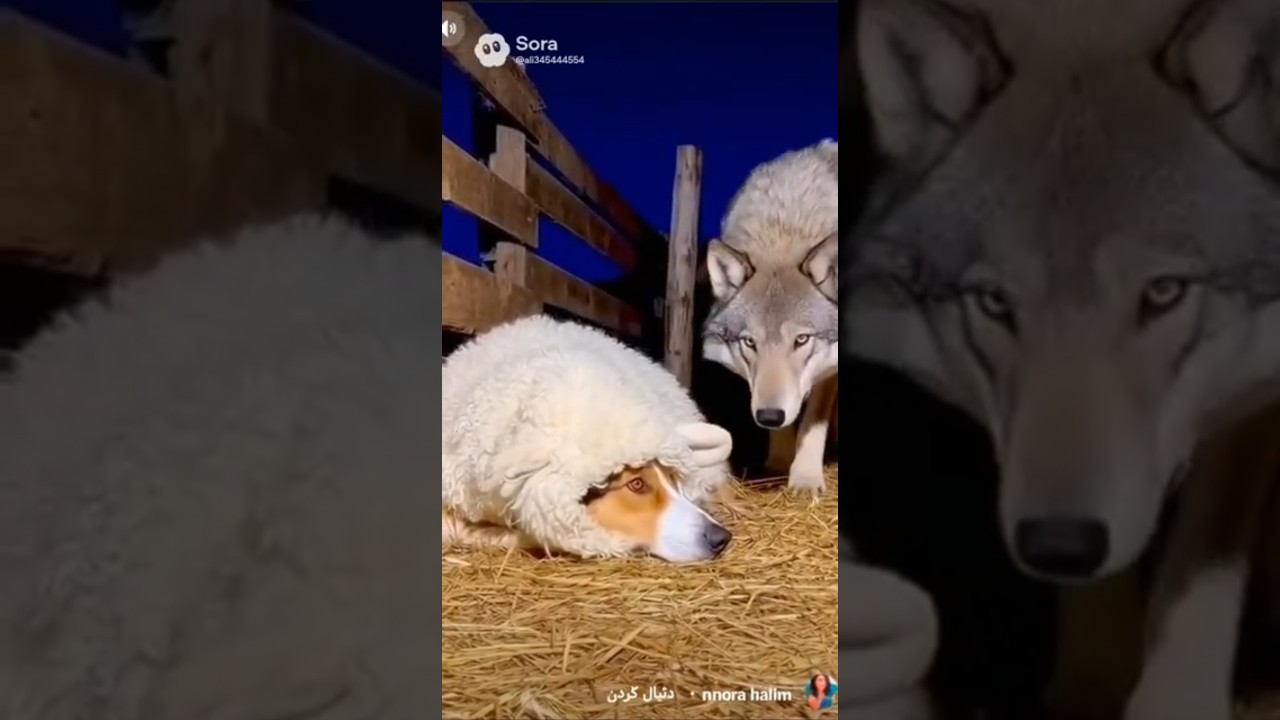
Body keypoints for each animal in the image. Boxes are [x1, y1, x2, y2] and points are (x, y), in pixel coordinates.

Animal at [702, 140, 840, 494]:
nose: (769, 416)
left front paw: (805, 479)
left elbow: (813, 421)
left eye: (801, 339)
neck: (784, 232)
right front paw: (778, 462)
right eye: (750, 342)